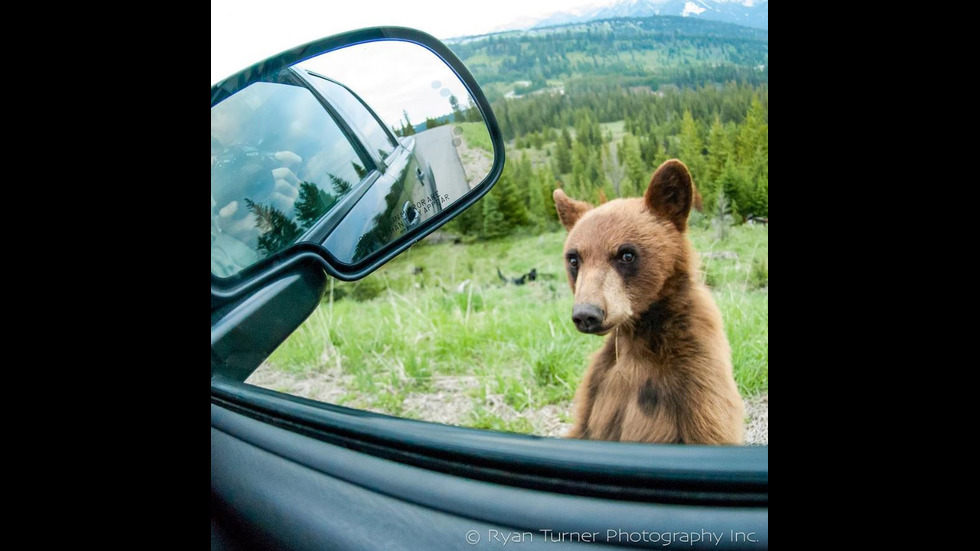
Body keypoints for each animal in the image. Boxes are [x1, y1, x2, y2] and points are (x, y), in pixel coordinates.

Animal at [556, 158, 740, 444]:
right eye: (574, 259)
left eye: (626, 254)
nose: (587, 314)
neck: (639, 334)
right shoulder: (599, 385)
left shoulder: (696, 375)